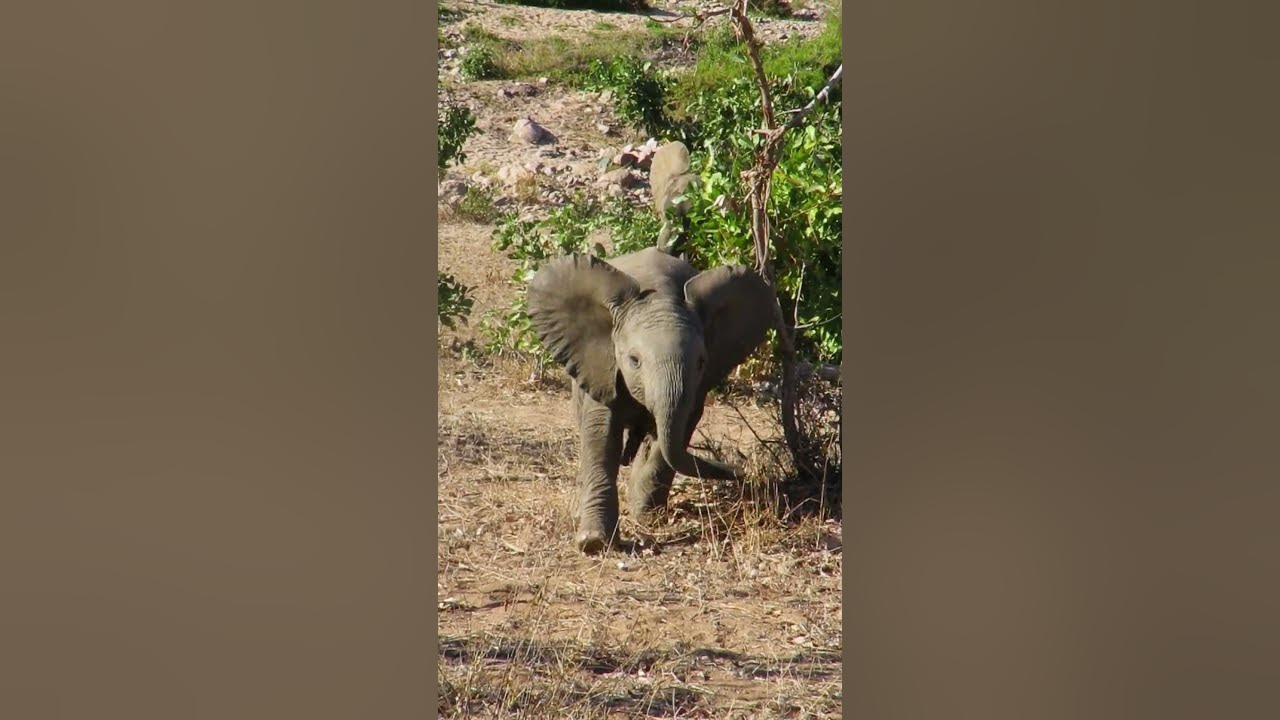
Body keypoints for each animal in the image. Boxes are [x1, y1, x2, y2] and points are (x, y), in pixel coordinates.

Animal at [527, 246, 776, 553]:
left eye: (701, 363)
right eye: (634, 360)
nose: (739, 472)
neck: (660, 293)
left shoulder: (696, 388)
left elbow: (672, 436)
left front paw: (646, 517)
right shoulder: (602, 365)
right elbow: (601, 435)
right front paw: (594, 542)